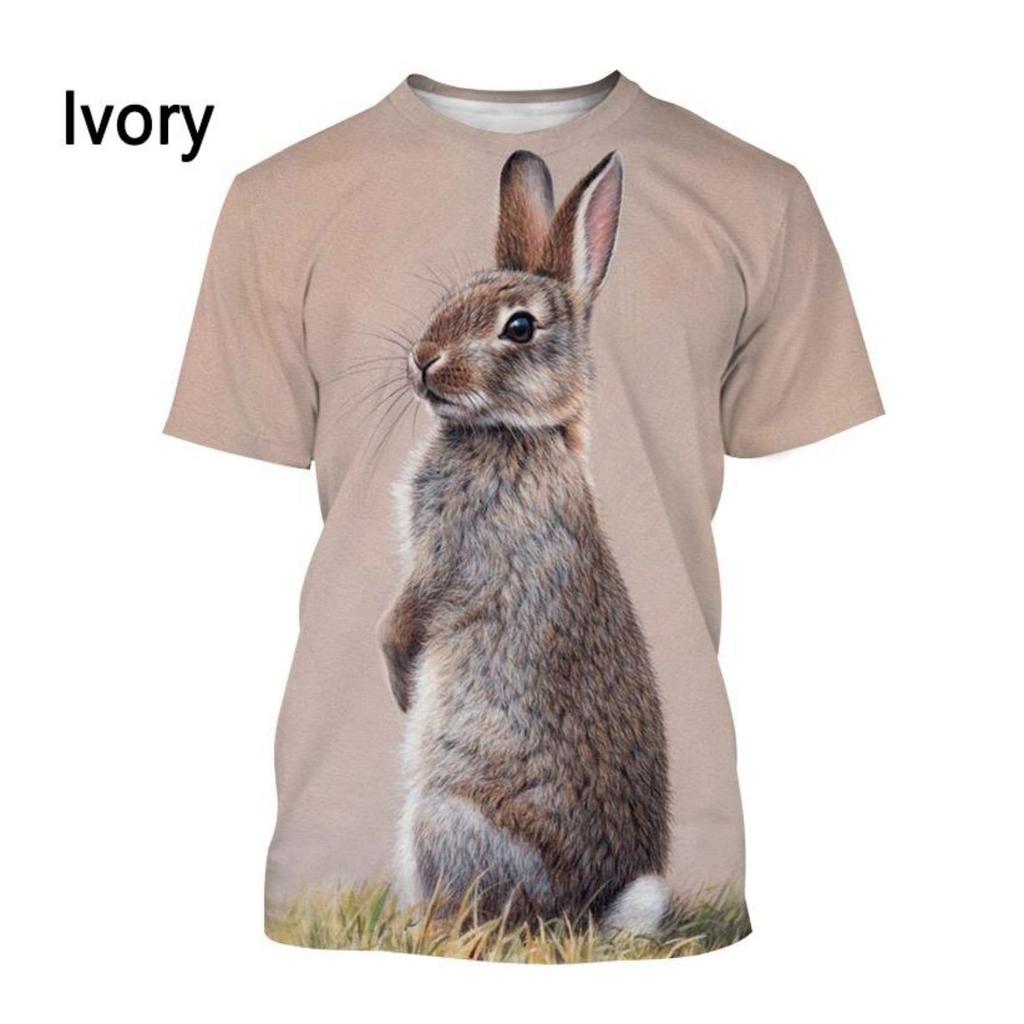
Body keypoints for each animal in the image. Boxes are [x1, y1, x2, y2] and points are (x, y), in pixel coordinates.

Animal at [379, 150, 670, 934]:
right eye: (454, 297)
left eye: (519, 327)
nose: (423, 358)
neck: (515, 433)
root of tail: (586, 909)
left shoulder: (452, 557)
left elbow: (404, 619)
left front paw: (400, 687)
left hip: (442, 819)